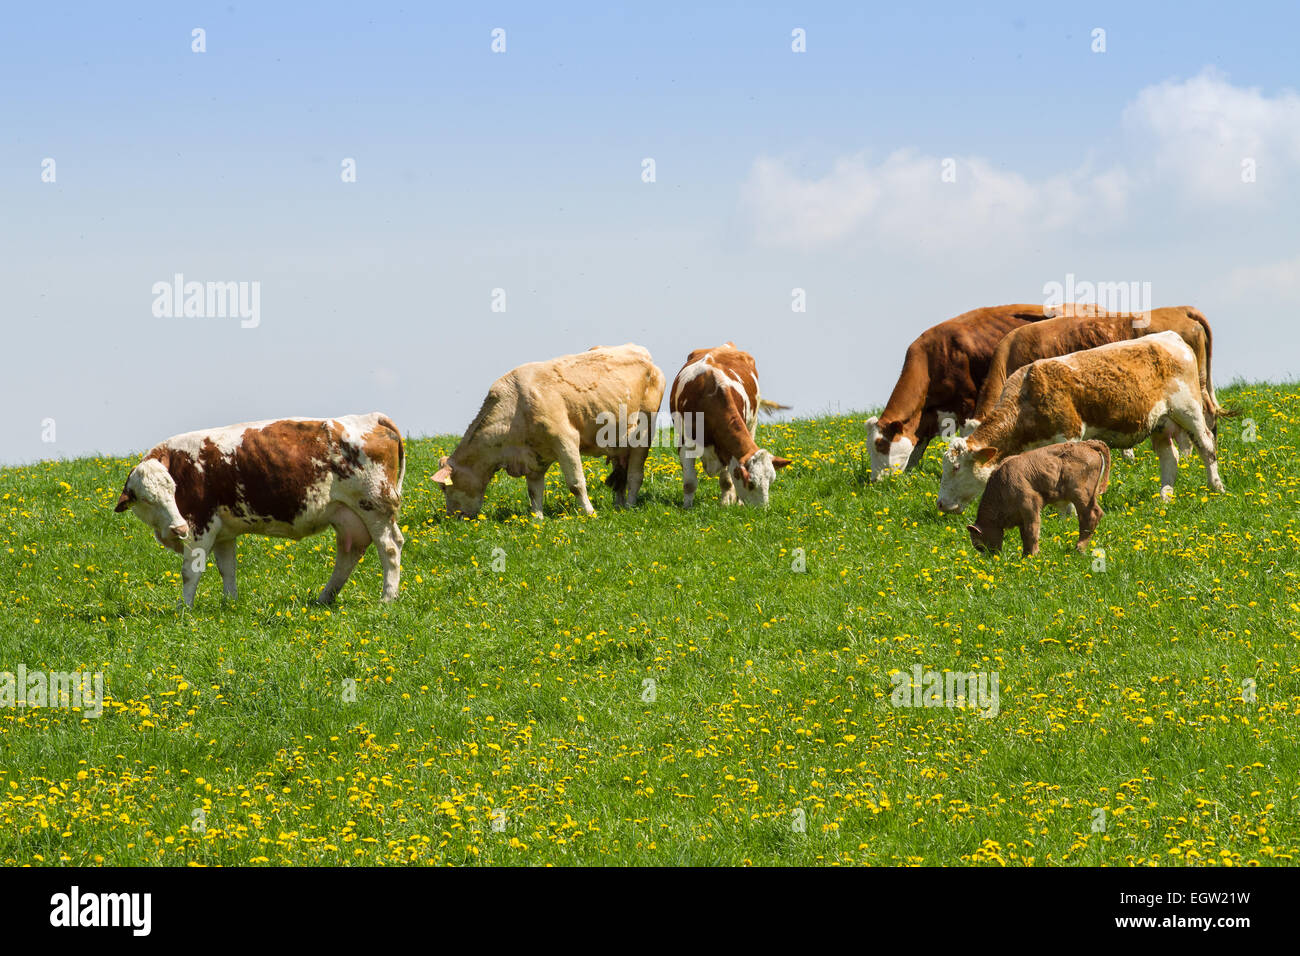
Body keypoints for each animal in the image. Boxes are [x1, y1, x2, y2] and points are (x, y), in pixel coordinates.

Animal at [113, 413, 405, 606]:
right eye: (147, 499)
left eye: (173, 489)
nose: (178, 527)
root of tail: (373, 417)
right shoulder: (223, 532)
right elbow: (227, 568)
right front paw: (230, 604)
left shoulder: (200, 526)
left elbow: (190, 572)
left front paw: (183, 609)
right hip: (349, 517)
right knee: (348, 554)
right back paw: (324, 599)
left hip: (375, 507)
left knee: (390, 548)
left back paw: (387, 599)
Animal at [433, 343, 666, 518]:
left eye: (444, 487)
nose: (453, 518)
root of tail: (641, 352)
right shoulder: (534, 456)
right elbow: (534, 490)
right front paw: (537, 518)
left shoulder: (566, 440)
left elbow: (576, 483)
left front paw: (590, 513)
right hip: (618, 440)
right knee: (620, 477)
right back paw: (618, 506)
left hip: (643, 433)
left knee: (635, 475)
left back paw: (629, 506)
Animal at [669, 343, 791, 507]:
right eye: (751, 483)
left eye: (770, 482)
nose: (763, 510)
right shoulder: (685, 442)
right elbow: (689, 482)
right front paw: (687, 507)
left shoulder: (727, 450)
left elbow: (727, 481)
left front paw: (726, 503)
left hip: (752, 424)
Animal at [937, 332, 1225, 514]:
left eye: (956, 468)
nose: (940, 504)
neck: (1025, 397)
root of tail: (1172, 337)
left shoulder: (1069, 435)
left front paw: (1070, 513)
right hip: (1160, 423)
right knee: (1170, 458)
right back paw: (1164, 497)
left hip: (1188, 410)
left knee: (1206, 445)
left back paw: (1216, 487)